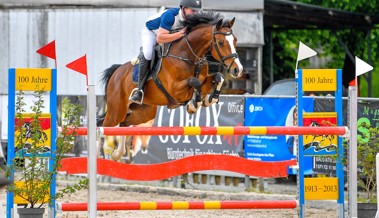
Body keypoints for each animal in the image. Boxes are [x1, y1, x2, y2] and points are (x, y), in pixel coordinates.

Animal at [97, 12, 243, 162]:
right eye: (221, 42)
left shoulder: (204, 79)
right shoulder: (176, 90)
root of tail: (116, 72)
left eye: (235, 40)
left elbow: (218, 76)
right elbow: (195, 82)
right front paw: (194, 104)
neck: (189, 54)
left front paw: (210, 99)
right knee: (103, 128)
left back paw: (117, 153)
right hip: (116, 111)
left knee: (124, 124)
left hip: (144, 112)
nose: (238, 70)